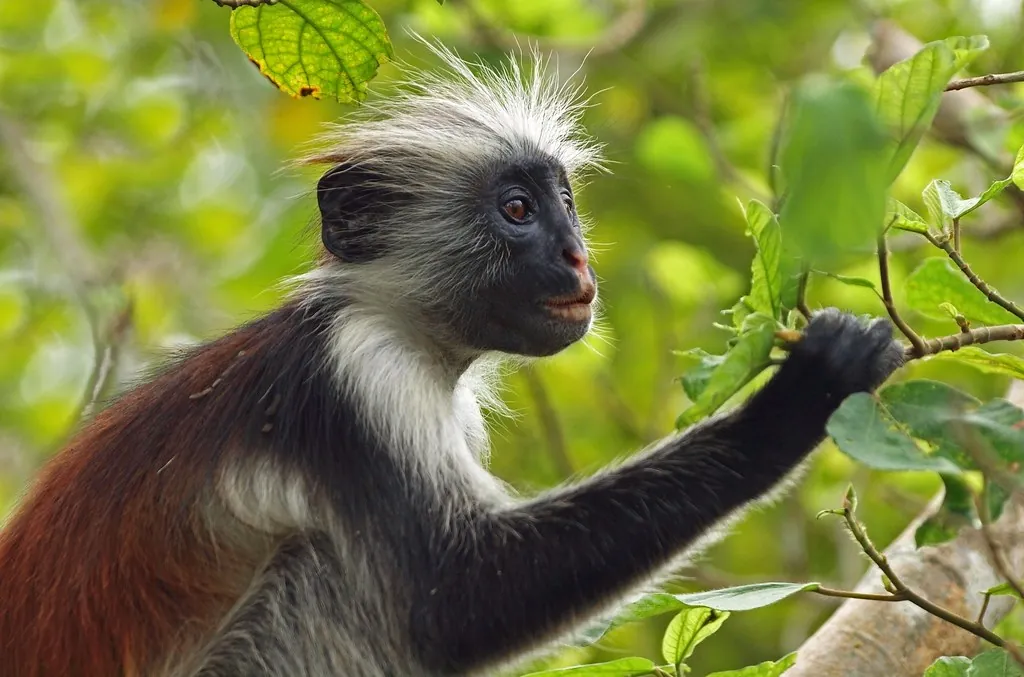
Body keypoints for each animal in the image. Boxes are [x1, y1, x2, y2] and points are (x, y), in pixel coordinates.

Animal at [0, 43, 904, 677]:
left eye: (564, 203)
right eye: (517, 210)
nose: (577, 257)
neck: (397, 322)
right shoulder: (360, 377)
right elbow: (456, 604)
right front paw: (793, 402)